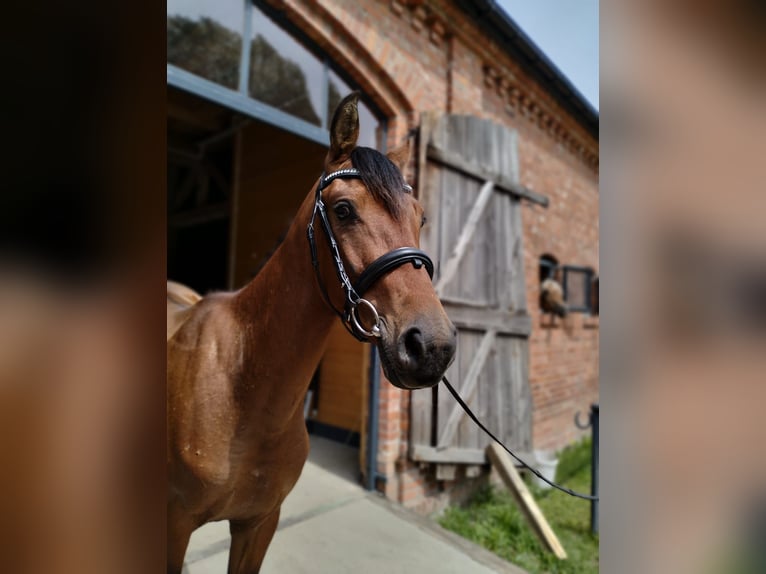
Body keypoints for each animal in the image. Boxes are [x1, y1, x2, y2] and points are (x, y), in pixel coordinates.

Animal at [168, 92, 456, 572]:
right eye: (343, 210)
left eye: (420, 218)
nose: (431, 346)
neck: (242, 387)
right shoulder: (173, 527)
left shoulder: (259, 524)